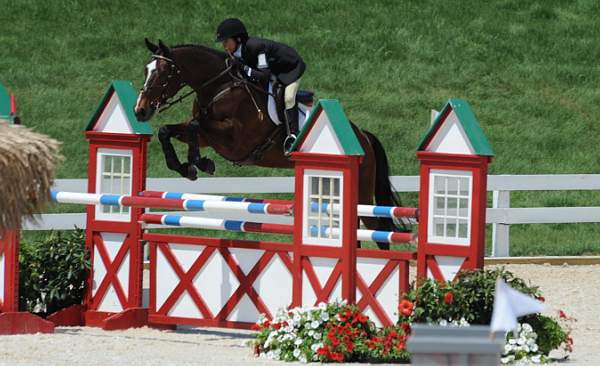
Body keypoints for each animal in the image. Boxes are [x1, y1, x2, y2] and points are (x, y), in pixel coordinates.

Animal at [134, 39, 410, 249]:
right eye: (146, 70)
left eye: (162, 73)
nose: (140, 111)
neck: (219, 87)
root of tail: (362, 135)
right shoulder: (207, 136)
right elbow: (168, 130)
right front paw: (187, 166)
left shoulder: (234, 140)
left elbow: (193, 127)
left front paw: (199, 163)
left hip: (362, 191)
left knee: (379, 230)